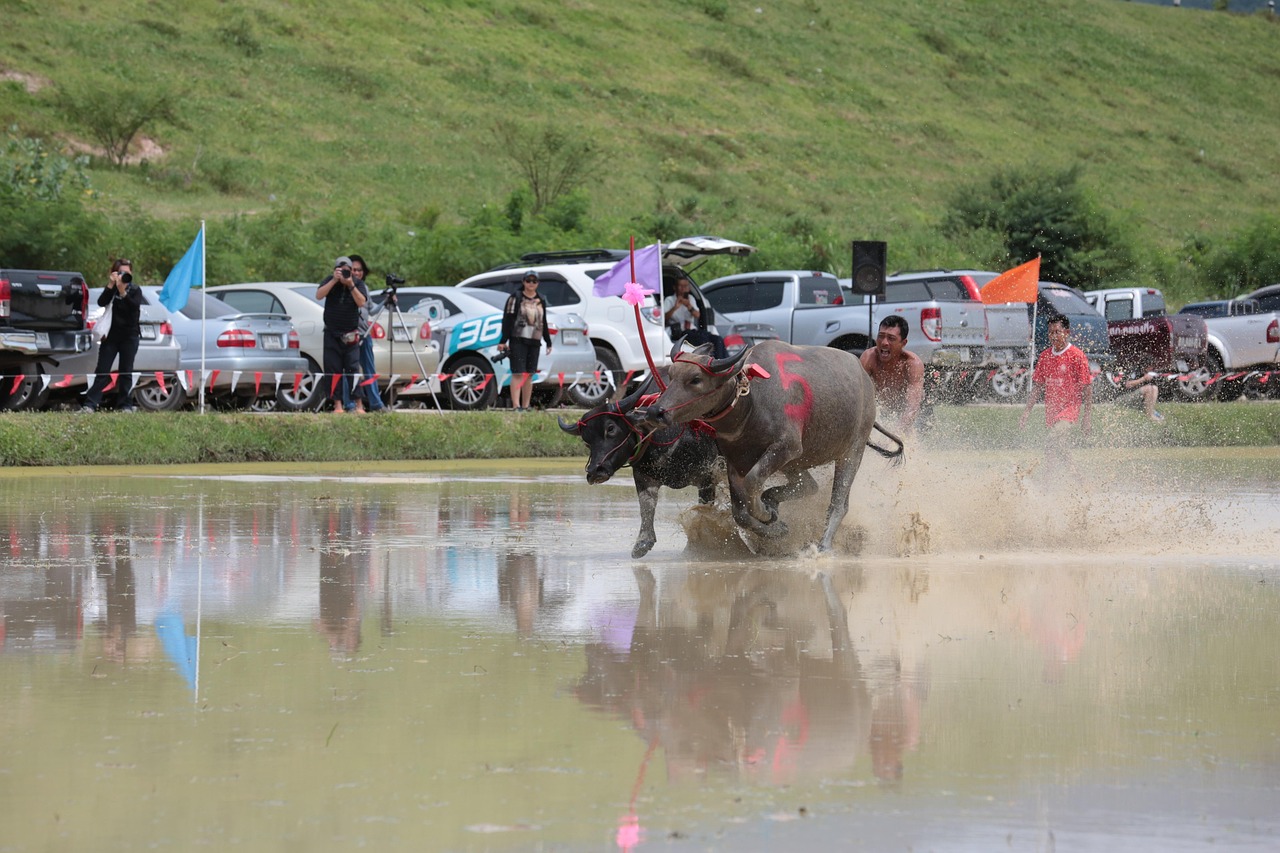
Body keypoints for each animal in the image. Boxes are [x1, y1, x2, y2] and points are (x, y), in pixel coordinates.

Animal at [558, 376, 727, 555]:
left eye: (610, 428)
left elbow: (703, 510)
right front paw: (642, 542)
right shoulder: (643, 477)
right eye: (586, 440)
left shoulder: (707, 477)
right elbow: (646, 506)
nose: (594, 471)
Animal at [629, 338, 901, 550]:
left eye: (695, 379)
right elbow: (740, 513)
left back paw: (823, 545)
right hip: (796, 462)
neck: (751, 403)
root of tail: (866, 381)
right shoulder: (735, 461)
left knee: (838, 503)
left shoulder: (784, 448)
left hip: (851, 451)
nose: (655, 412)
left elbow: (752, 484)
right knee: (809, 486)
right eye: (672, 375)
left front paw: (766, 514)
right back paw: (774, 502)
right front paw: (775, 526)